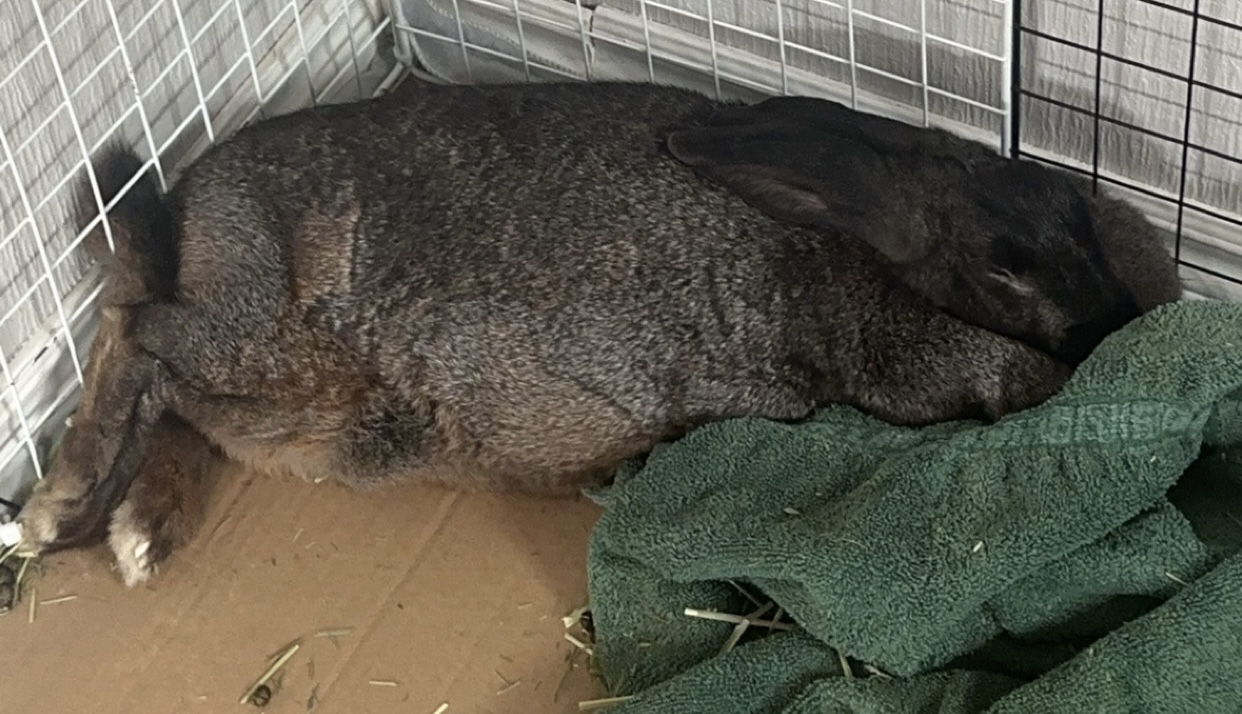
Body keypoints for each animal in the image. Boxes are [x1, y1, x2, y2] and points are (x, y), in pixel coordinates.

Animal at [17, 80, 1072, 588]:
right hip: (269, 341)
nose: (1088, 336)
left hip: (306, 412)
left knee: (175, 398)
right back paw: (61, 510)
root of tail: (191, 197)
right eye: (1009, 266)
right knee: (137, 332)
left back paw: (137, 530)